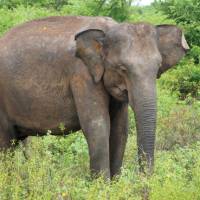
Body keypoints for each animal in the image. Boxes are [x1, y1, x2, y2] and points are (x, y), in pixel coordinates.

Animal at [0, 15, 188, 178]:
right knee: (5, 145)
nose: (144, 182)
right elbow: (97, 125)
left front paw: (115, 186)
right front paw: (102, 187)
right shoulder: (82, 75)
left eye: (158, 67)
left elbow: (120, 129)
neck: (108, 30)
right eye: (122, 68)